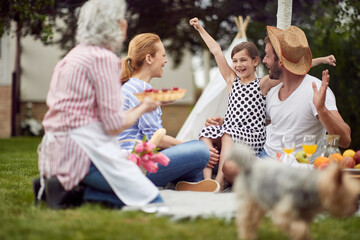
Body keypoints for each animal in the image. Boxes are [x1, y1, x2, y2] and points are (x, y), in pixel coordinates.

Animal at [228, 143, 360, 239]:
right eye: (351, 195)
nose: (356, 206)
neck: (312, 188)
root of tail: (248, 166)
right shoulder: (283, 216)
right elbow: (299, 229)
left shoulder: (304, 218)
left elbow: (304, 231)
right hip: (248, 203)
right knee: (245, 222)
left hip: (259, 202)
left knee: (253, 222)